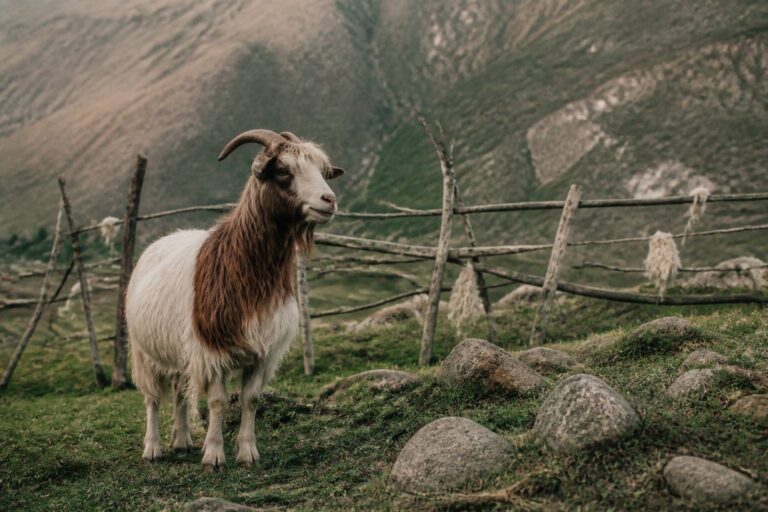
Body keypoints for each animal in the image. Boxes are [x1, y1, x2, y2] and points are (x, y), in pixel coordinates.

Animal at [126, 129, 344, 470]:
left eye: (321, 170)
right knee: (152, 398)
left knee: (179, 392)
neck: (242, 267)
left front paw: (247, 452)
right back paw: (153, 448)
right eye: (283, 171)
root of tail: (162, 240)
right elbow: (217, 401)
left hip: (179, 351)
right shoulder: (212, 349)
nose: (329, 201)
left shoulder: (263, 351)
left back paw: (182, 441)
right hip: (144, 351)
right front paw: (214, 455)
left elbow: (250, 400)